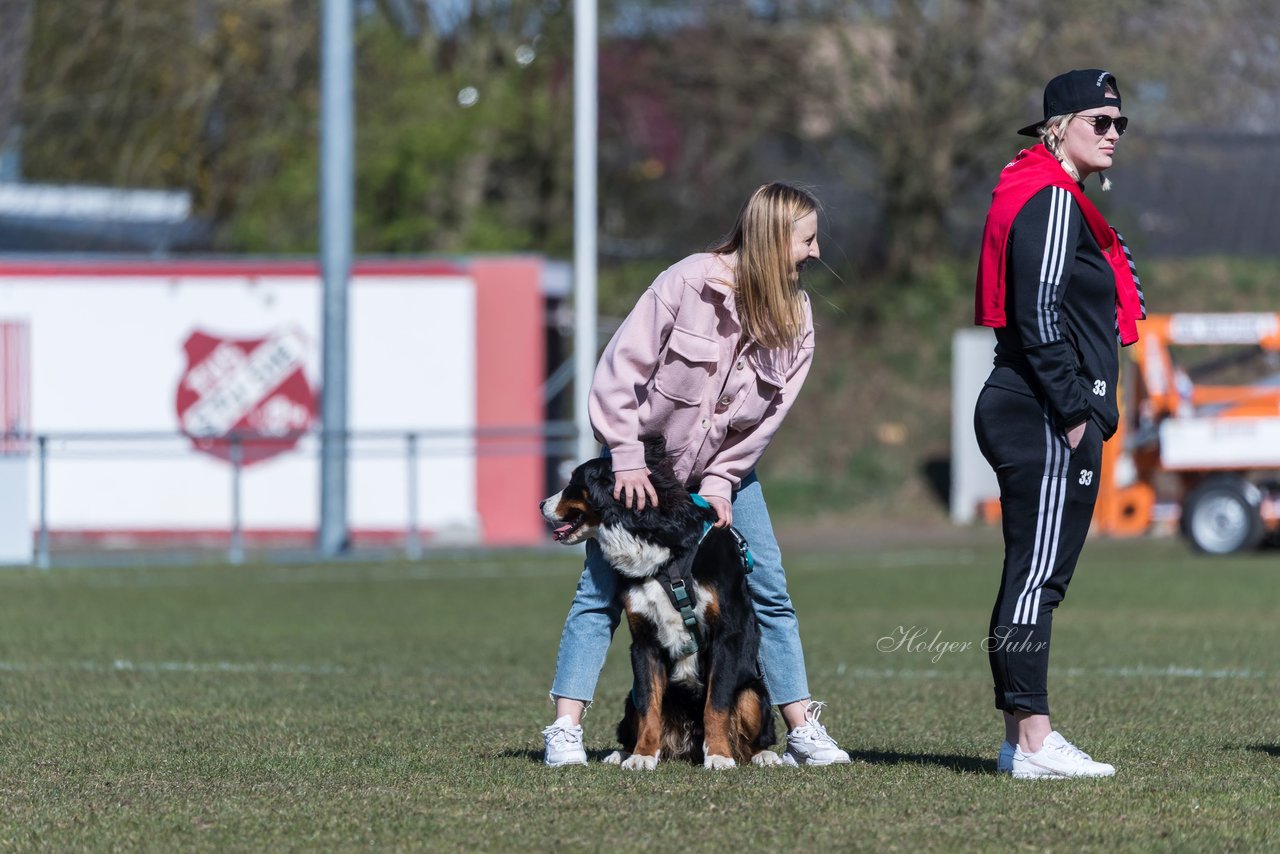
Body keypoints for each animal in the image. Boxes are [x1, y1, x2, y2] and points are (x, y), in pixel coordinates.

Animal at [537, 437, 773, 773]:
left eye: (573, 483)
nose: (541, 504)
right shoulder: (644, 642)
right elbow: (650, 706)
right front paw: (642, 756)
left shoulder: (727, 636)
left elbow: (716, 704)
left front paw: (718, 755)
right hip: (630, 696)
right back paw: (622, 753)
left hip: (753, 691)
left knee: (750, 735)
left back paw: (763, 754)